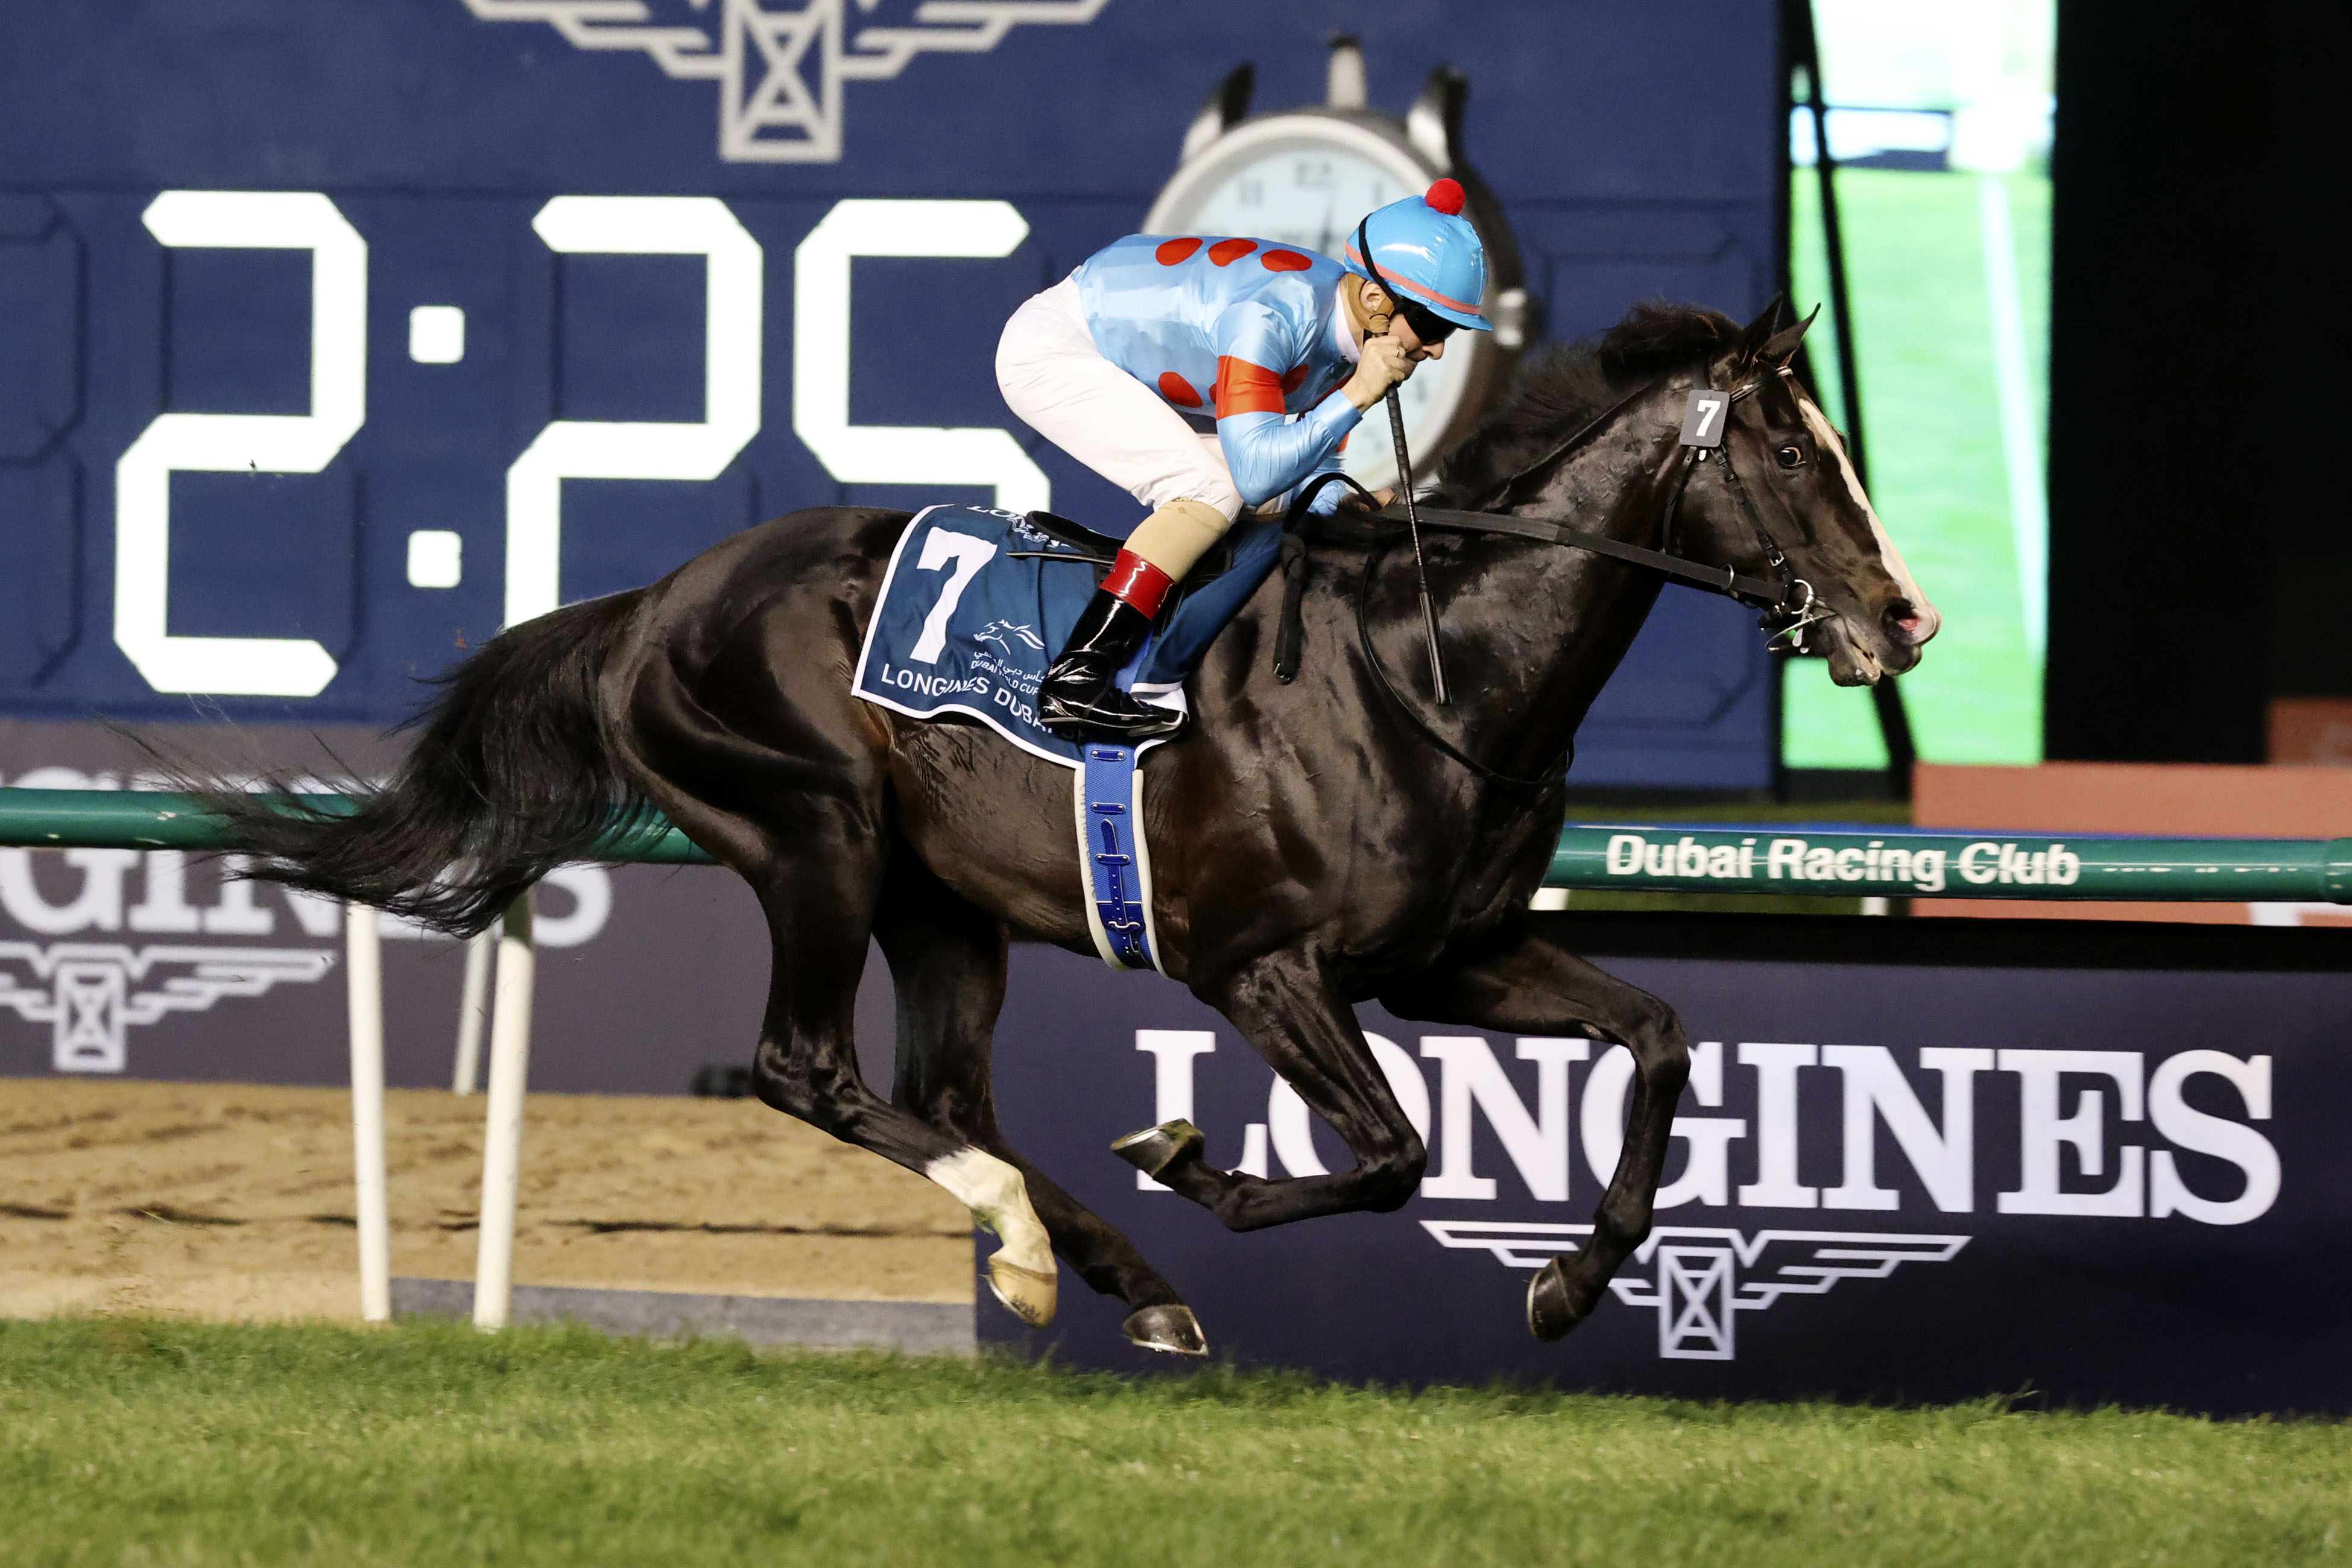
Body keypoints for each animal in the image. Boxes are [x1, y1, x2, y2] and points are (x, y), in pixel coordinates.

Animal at [208, 299, 1935, 1357]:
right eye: (1799, 452)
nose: (1906, 619)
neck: (1434, 665)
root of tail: (658, 600)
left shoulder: (1454, 957)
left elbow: (1657, 1037)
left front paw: (1573, 1282)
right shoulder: (1257, 965)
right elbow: (1390, 1153)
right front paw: (1202, 1160)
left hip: (944, 904)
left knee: (946, 1092)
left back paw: (1105, 1272)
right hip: (816, 836)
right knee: (810, 1070)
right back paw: (1031, 1232)